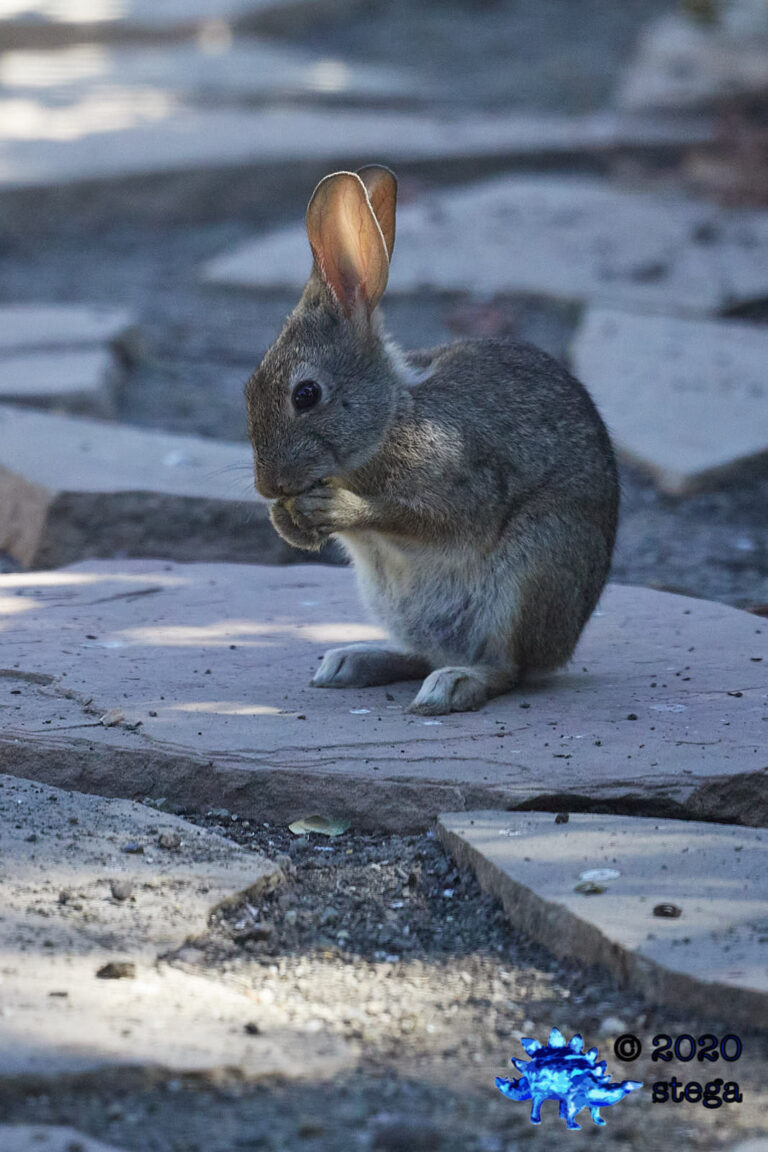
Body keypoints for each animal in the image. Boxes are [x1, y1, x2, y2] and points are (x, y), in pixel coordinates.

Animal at [246, 165, 619, 715]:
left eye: (306, 394)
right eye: (249, 388)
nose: (268, 487)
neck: (391, 420)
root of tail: (563, 646)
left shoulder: (461, 479)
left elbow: (419, 516)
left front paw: (337, 508)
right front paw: (285, 520)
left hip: (531, 573)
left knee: (505, 667)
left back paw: (452, 685)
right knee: (422, 653)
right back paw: (351, 662)